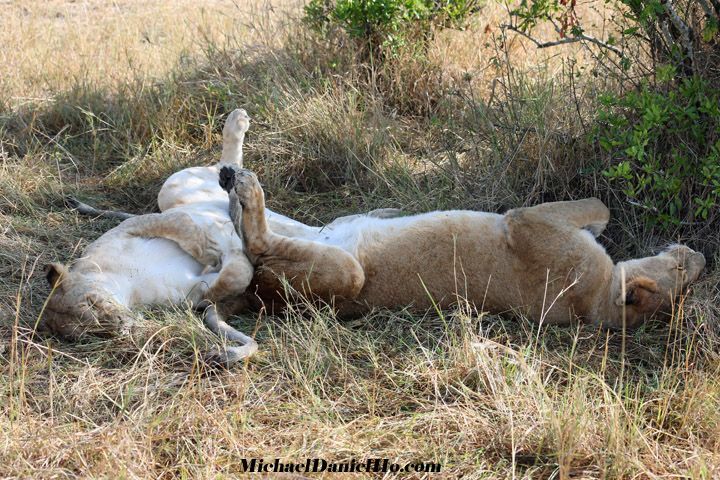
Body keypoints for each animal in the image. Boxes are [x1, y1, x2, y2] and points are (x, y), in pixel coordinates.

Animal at [219, 167, 704, 328]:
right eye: (683, 275)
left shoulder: (526, 219)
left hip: (344, 274)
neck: (595, 304)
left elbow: (597, 204)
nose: (702, 257)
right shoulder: (535, 221)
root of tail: (255, 299)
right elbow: (601, 206)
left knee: (258, 247)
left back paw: (242, 188)